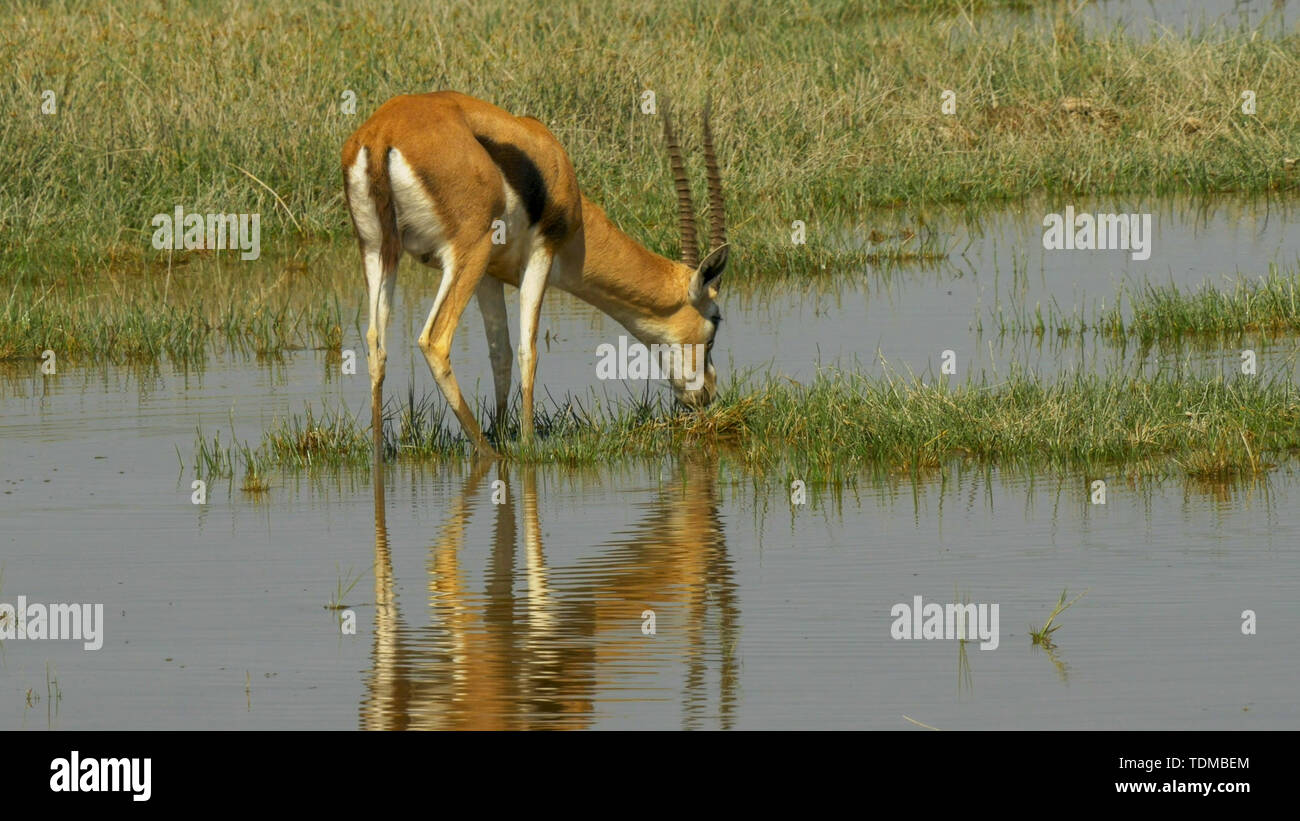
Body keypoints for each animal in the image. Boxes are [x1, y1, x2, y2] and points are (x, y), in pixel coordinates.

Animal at [342, 91, 729, 460]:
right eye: (715, 320)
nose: (706, 392)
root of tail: (383, 132)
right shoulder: (541, 254)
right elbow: (528, 349)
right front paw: (527, 445)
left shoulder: (489, 276)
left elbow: (500, 352)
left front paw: (502, 429)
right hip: (466, 252)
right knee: (435, 340)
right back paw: (488, 452)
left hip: (377, 252)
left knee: (376, 344)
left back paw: (379, 453)